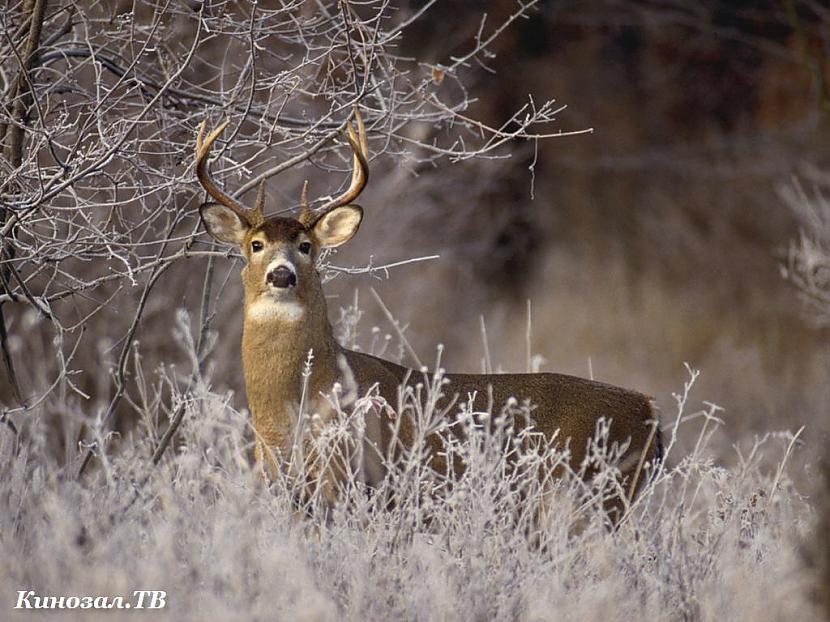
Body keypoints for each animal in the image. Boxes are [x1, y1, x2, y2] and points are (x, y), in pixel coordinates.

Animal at [193, 109, 664, 524]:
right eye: (255, 244)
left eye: (306, 246)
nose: (281, 274)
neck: (289, 410)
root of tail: (649, 409)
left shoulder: (351, 480)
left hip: (592, 495)